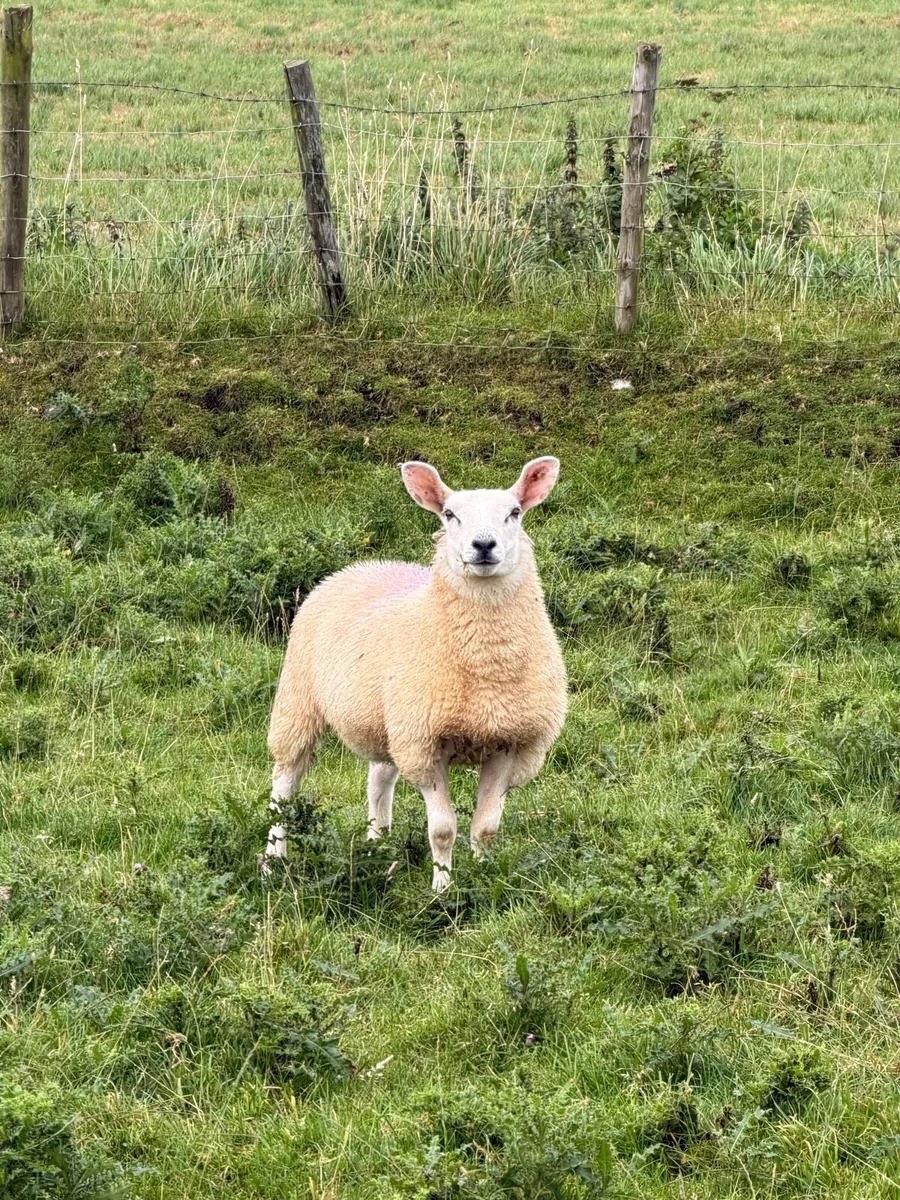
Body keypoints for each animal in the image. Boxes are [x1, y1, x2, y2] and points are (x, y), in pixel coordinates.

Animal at [263, 456, 567, 891]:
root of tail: (364, 566)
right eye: (450, 514)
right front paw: (442, 889)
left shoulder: (508, 742)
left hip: (387, 721)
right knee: (284, 785)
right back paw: (274, 861)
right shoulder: (424, 746)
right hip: (298, 701)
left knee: (378, 780)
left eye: (514, 513)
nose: (483, 546)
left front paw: (484, 876)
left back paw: (377, 846)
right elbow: (442, 829)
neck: (487, 672)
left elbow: (485, 828)